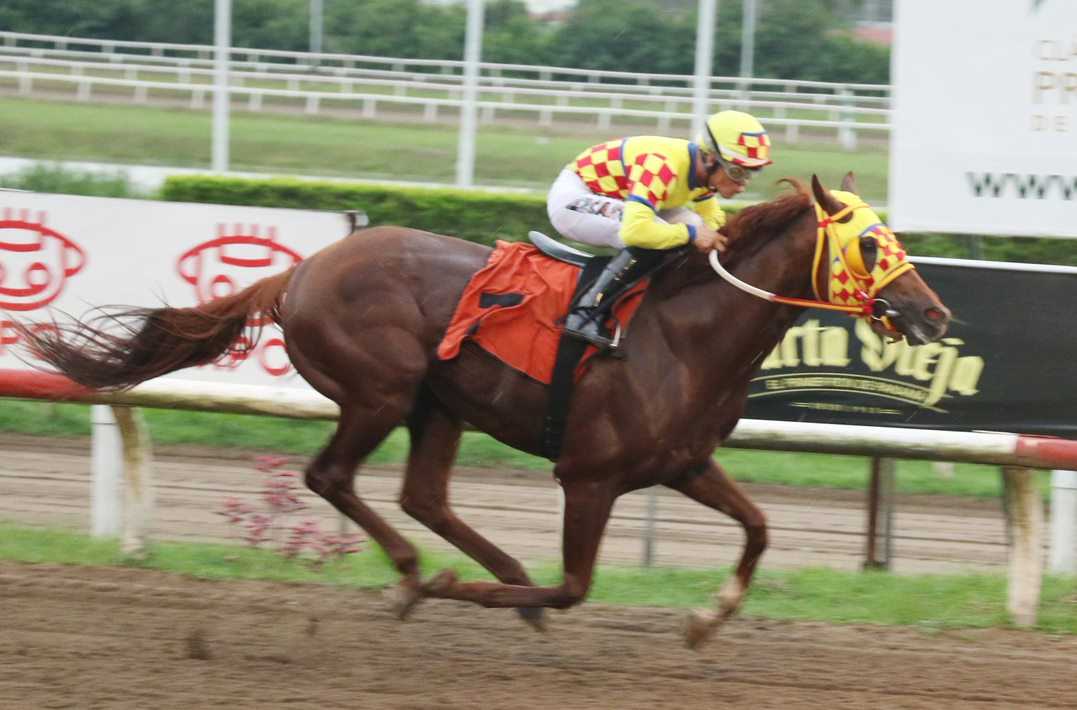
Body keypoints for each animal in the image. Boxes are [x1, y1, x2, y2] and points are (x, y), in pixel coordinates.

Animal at [20, 173, 951, 649]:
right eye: (871, 241)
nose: (934, 314)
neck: (685, 332)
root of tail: (301, 269)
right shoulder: (590, 476)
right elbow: (575, 586)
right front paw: (469, 590)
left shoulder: (683, 463)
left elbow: (758, 529)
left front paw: (705, 618)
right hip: (382, 391)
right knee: (333, 478)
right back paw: (418, 577)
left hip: (439, 405)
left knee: (422, 496)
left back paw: (484, 573)